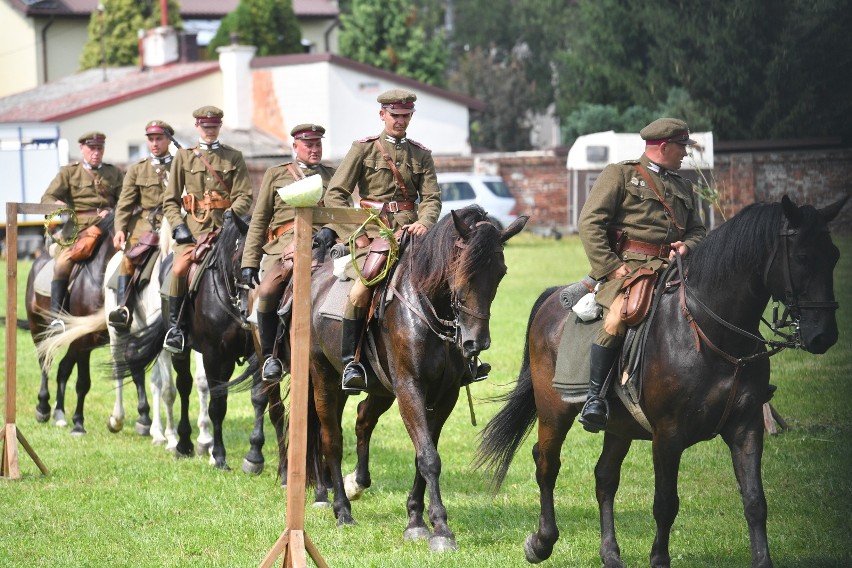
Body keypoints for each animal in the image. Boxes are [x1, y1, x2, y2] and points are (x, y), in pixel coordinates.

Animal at [25, 211, 119, 438]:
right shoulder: (83, 339)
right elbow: (83, 382)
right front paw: (78, 424)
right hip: (38, 328)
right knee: (45, 362)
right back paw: (43, 407)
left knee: (62, 368)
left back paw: (59, 414)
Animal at [300, 204, 524, 552]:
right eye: (463, 269)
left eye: (500, 272)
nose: (476, 342)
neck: (428, 307)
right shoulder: (410, 389)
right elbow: (429, 457)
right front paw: (441, 530)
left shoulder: (444, 396)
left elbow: (425, 452)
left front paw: (417, 521)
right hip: (324, 377)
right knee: (332, 440)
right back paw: (342, 509)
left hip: (380, 390)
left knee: (363, 418)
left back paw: (356, 484)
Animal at [476, 196, 848, 568]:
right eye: (802, 256)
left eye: (833, 256)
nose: (824, 335)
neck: (711, 333)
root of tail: (554, 297)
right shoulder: (668, 436)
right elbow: (665, 503)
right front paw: (659, 558)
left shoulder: (747, 427)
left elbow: (755, 501)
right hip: (555, 412)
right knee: (547, 464)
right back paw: (541, 542)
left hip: (620, 426)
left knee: (604, 477)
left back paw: (610, 553)